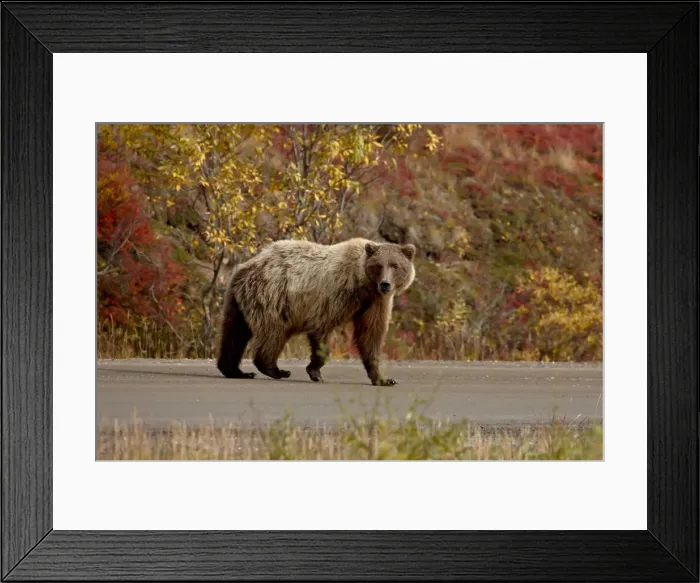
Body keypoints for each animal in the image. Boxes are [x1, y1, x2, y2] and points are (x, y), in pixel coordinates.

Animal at [216, 238, 416, 386]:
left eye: (395, 265)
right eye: (379, 265)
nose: (385, 284)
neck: (363, 284)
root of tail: (245, 267)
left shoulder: (375, 302)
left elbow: (371, 335)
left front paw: (384, 379)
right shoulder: (336, 293)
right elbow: (321, 326)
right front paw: (315, 372)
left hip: (237, 302)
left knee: (234, 333)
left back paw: (235, 370)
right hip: (272, 297)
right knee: (273, 333)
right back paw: (276, 369)